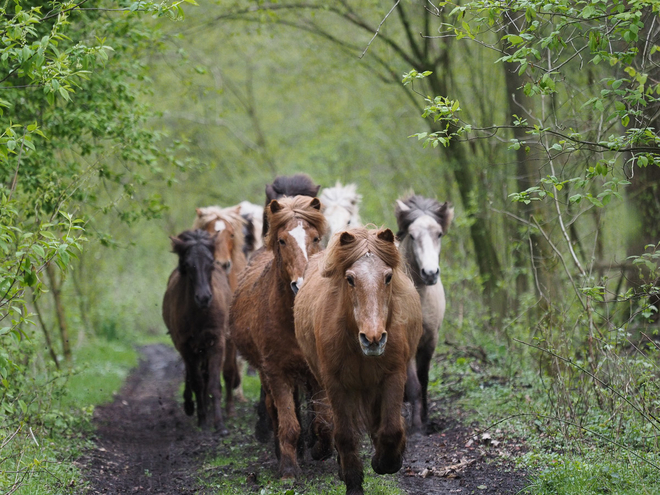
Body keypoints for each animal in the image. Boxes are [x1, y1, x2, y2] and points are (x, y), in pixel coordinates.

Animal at [163, 231, 233, 436]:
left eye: (210, 262)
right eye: (187, 265)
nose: (203, 297)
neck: (200, 313)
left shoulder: (216, 342)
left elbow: (213, 384)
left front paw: (220, 425)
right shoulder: (185, 345)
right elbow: (197, 382)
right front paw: (202, 420)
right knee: (192, 375)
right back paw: (190, 405)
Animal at [229, 196, 332, 478]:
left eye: (316, 238)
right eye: (283, 241)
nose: (301, 284)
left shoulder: (317, 372)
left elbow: (324, 420)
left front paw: (321, 450)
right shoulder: (276, 371)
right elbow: (288, 422)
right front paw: (288, 467)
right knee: (275, 411)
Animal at [296, 229, 422, 495]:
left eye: (388, 277)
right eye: (350, 279)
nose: (373, 338)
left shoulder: (393, 377)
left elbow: (391, 428)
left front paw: (386, 461)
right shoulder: (335, 384)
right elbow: (344, 435)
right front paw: (353, 482)